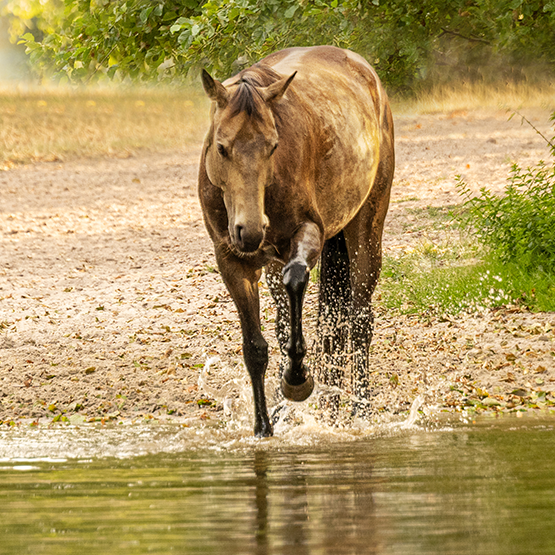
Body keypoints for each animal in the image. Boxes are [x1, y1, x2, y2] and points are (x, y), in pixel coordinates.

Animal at [200, 45, 396, 438]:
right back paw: (320, 413)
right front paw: (263, 426)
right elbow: (255, 347)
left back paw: (359, 411)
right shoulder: (232, 263)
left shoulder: (308, 234)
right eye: (222, 147)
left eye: (274, 145)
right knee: (326, 331)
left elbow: (297, 281)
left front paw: (297, 381)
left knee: (359, 322)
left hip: (366, 231)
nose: (250, 230)